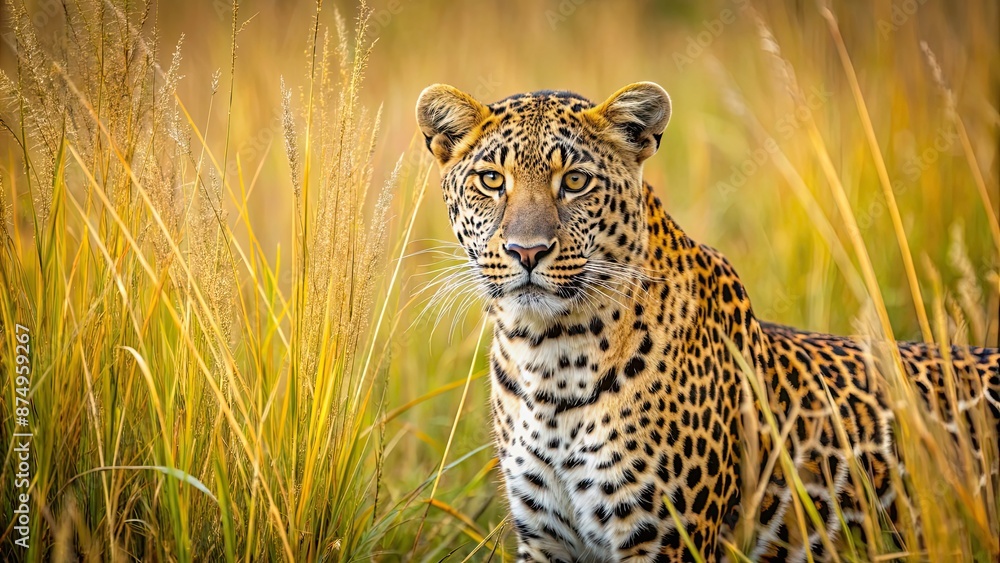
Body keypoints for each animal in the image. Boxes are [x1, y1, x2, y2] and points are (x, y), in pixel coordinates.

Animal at [414, 81, 1000, 560]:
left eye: (575, 181)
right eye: (491, 180)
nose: (527, 251)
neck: (550, 356)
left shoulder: (665, 538)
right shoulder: (546, 537)